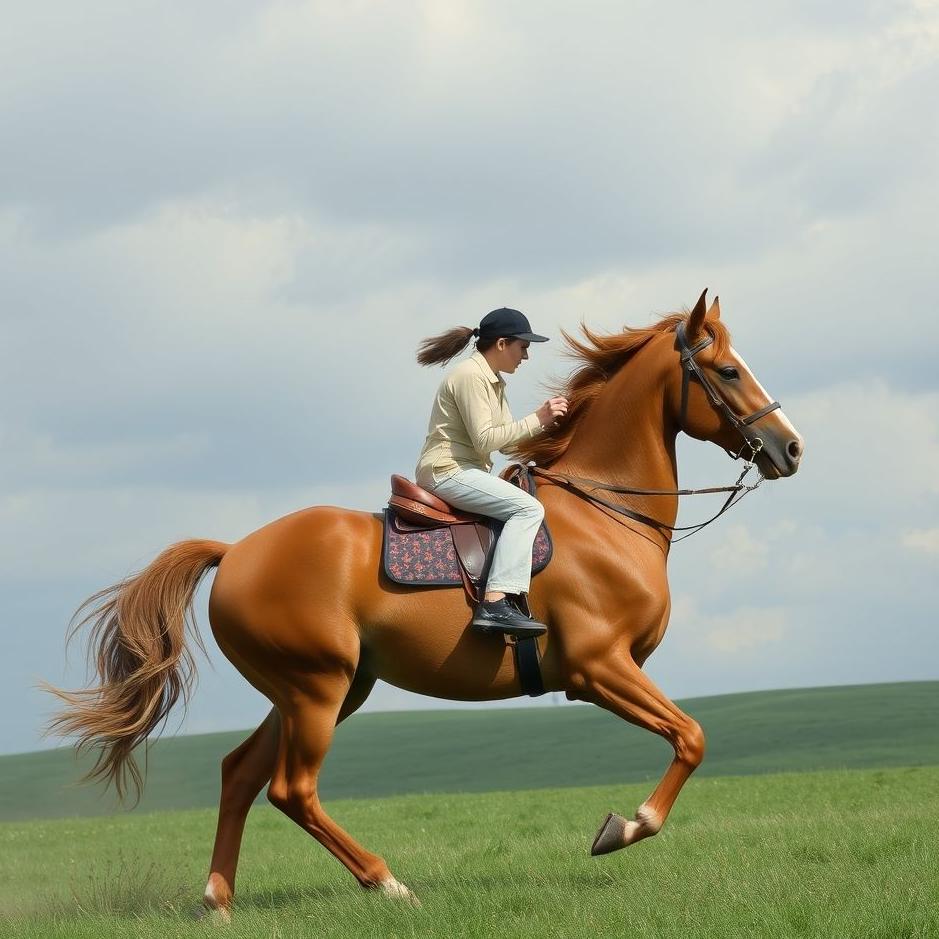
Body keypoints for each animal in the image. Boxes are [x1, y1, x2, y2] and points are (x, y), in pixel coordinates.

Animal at [44, 289, 803, 920]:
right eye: (727, 371)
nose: (790, 448)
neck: (606, 511)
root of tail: (233, 551)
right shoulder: (598, 668)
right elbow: (690, 737)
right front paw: (622, 828)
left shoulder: (610, 670)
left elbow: (688, 738)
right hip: (316, 689)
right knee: (292, 789)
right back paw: (387, 882)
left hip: (320, 688)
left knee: (240, 774)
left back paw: (219, 902)